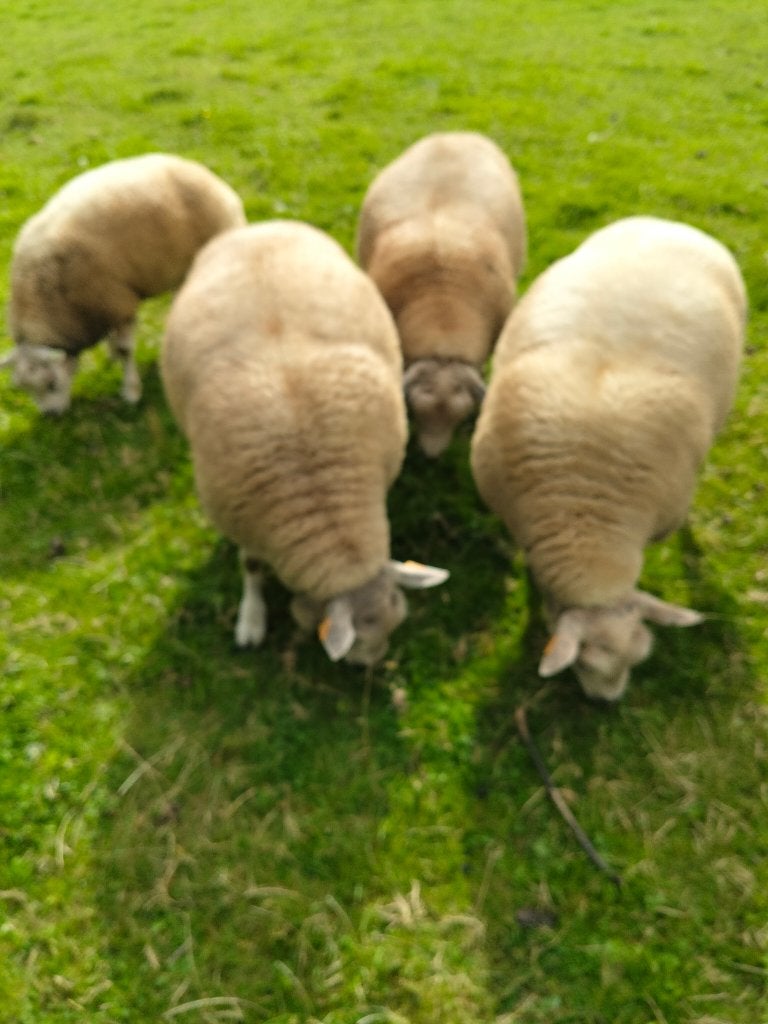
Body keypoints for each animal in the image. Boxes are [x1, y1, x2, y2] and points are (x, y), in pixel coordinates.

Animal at [1, 152, 246, 413]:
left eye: (51, 383)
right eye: (23, 388)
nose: (51, 416)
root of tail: (207, 175)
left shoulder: (117, 301)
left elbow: (125, 350)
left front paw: (131, 391)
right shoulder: (102, 305)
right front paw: (111, 356)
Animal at [160, 220, 449, 665]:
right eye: (357, 643)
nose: (373, 666)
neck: (318, 493)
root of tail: (261, 228)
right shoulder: (242, 521)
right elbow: (251, 568)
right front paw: (251, 620)